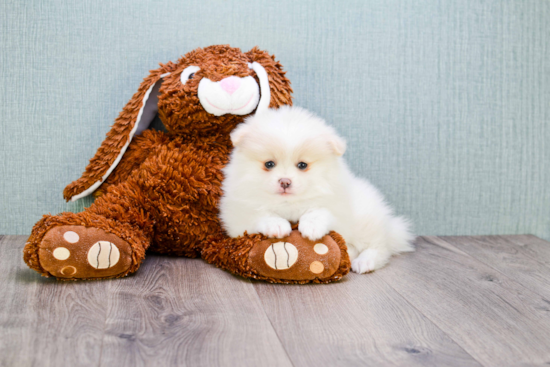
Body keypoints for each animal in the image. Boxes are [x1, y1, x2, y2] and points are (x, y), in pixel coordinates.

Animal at [220, 106, 414, 274]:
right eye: (269, 164)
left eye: (302, 165)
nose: (285, 181)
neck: (288, 204)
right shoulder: (238, 216)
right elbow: (261, 214)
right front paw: (277, 225)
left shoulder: (336, 207)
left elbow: (319, 210)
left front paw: (311, 227)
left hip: (365, 221)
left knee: (379, 247)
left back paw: (364, 262)